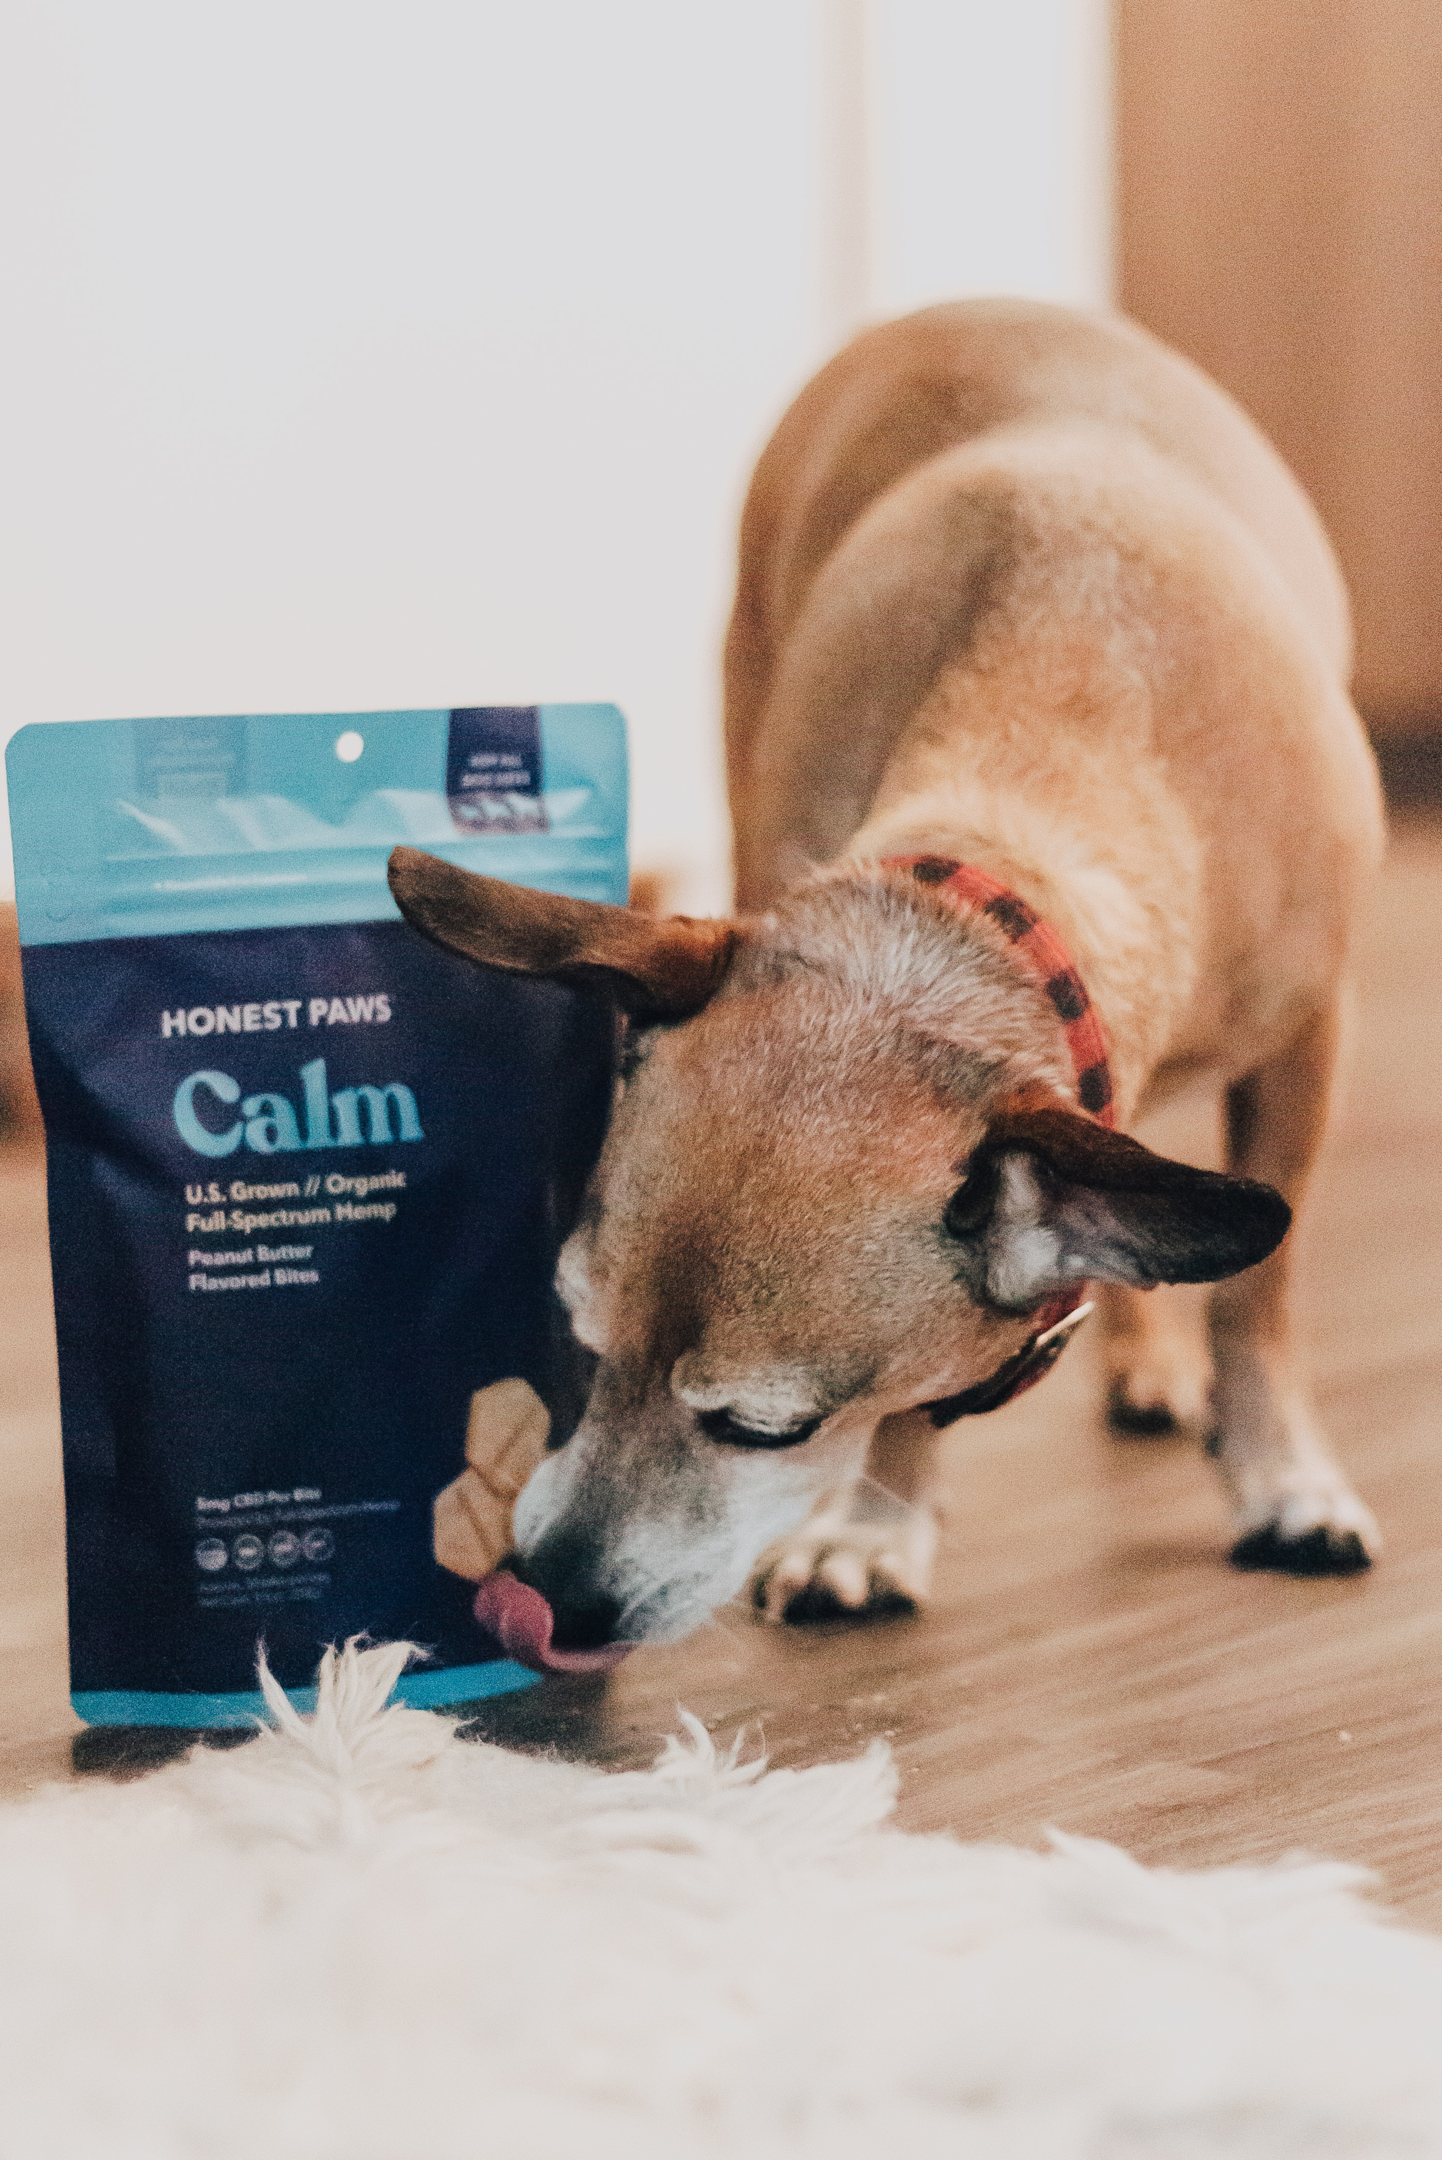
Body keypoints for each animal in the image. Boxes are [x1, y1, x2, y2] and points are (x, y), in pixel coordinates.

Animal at [388, 300, 1381, 1650]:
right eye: (582, 1351)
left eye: (761, 1430)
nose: (544, 1600)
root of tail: (977, 305)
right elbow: (922, 1389)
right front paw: (875, 1520)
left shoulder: (1303, 1045)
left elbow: (1255, 1296)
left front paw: (1281, 1476)